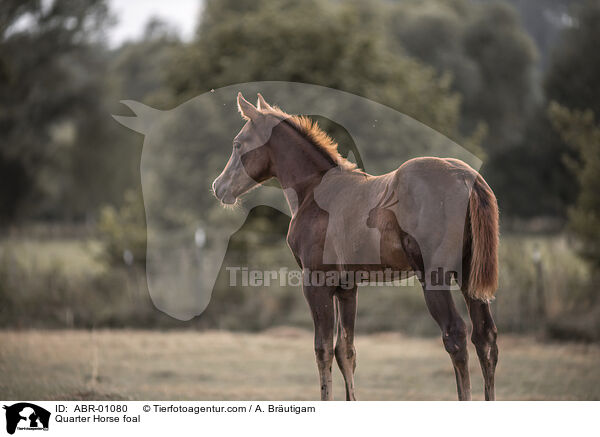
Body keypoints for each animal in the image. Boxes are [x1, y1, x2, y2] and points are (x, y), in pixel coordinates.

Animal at [213, 93, 500, 400]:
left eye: (238, 143)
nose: (219, 187)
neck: (314, 190)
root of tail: (466, 177)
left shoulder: (316, 282)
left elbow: (323, 350)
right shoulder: (347, 287)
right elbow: (345, 351)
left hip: (435, 278)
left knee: (455, 335)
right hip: (469, 277)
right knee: (485, 338)